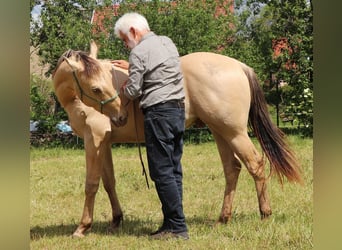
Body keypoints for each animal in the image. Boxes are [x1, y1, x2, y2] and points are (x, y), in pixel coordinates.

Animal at [52, 41, 300, 238]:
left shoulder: (93, 139)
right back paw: (222, 219)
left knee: (255, 164)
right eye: (96, 88)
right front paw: (116, 220)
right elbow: (109, 182)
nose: (121, 117)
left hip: (234, 132)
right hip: (220, 131)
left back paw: (265, 214)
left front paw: (82, 227)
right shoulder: (104, 144)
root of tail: (239, 66)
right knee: (232, 169)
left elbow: (91, 184)